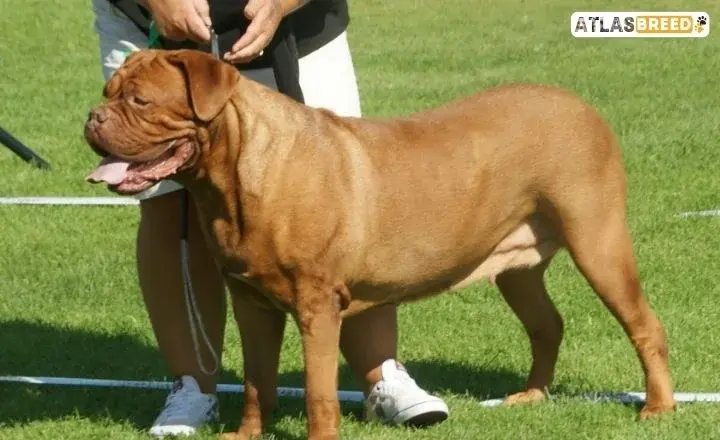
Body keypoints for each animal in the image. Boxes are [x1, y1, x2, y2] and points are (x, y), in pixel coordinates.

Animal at [84, 49, 676, 440]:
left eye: (140, 100)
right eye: (108, 94)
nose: (92, 117)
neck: (236, 175)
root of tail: (582, 105)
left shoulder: (317, 305)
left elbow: (320, 389)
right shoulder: (251, 301)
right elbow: (257, 381)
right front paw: (247, 434)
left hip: (598, 240)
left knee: (644, 325)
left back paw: (658, 407)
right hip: (518, 267)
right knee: (546, 324)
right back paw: (531, 396)